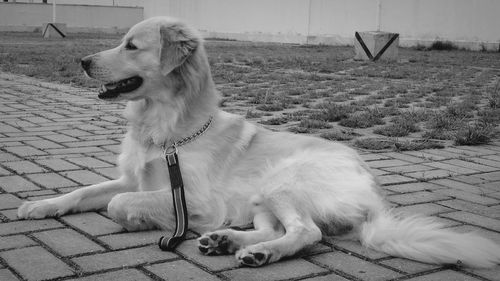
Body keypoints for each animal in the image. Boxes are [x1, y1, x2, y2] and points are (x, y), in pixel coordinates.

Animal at [16, 16, 500, 266]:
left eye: (131, 46)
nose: (82, 61)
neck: (164, 129)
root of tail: (374, 192)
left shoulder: (193, 198)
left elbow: (119, 204)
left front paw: (142, 220)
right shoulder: (134, 179)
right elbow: (84, 192)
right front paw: (39, 205)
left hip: (281, 182)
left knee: (306, 232)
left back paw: (257, 252)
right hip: (261, 197)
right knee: (281, 227)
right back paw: (229, 242)